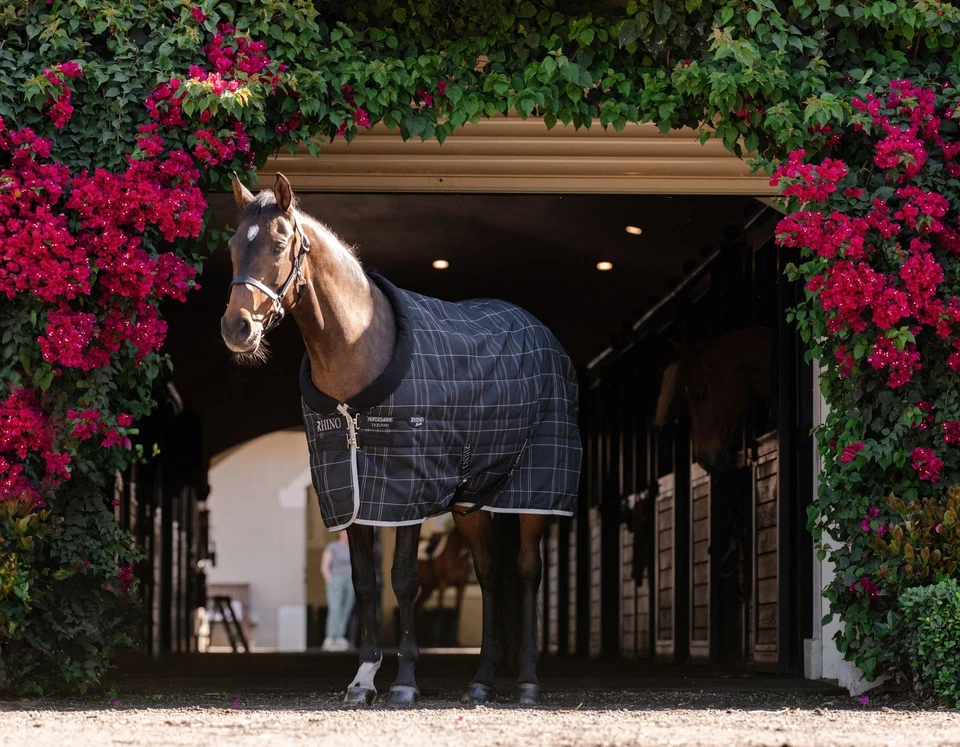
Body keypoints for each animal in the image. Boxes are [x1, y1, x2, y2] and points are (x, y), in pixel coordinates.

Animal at [221, 173, 582, 707]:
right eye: (231, 247)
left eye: (279, 243)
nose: (237, 327)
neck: (360, 350)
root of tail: (542, 333)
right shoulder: (350, 493)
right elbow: (366, 582)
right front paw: (363, 679)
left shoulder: (407, 490)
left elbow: (404, 580)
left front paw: (406, 680)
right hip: (471, 502)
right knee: (490, 574)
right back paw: (481, 681)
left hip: (534, 492)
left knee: (526, 571)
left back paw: (528, 682)